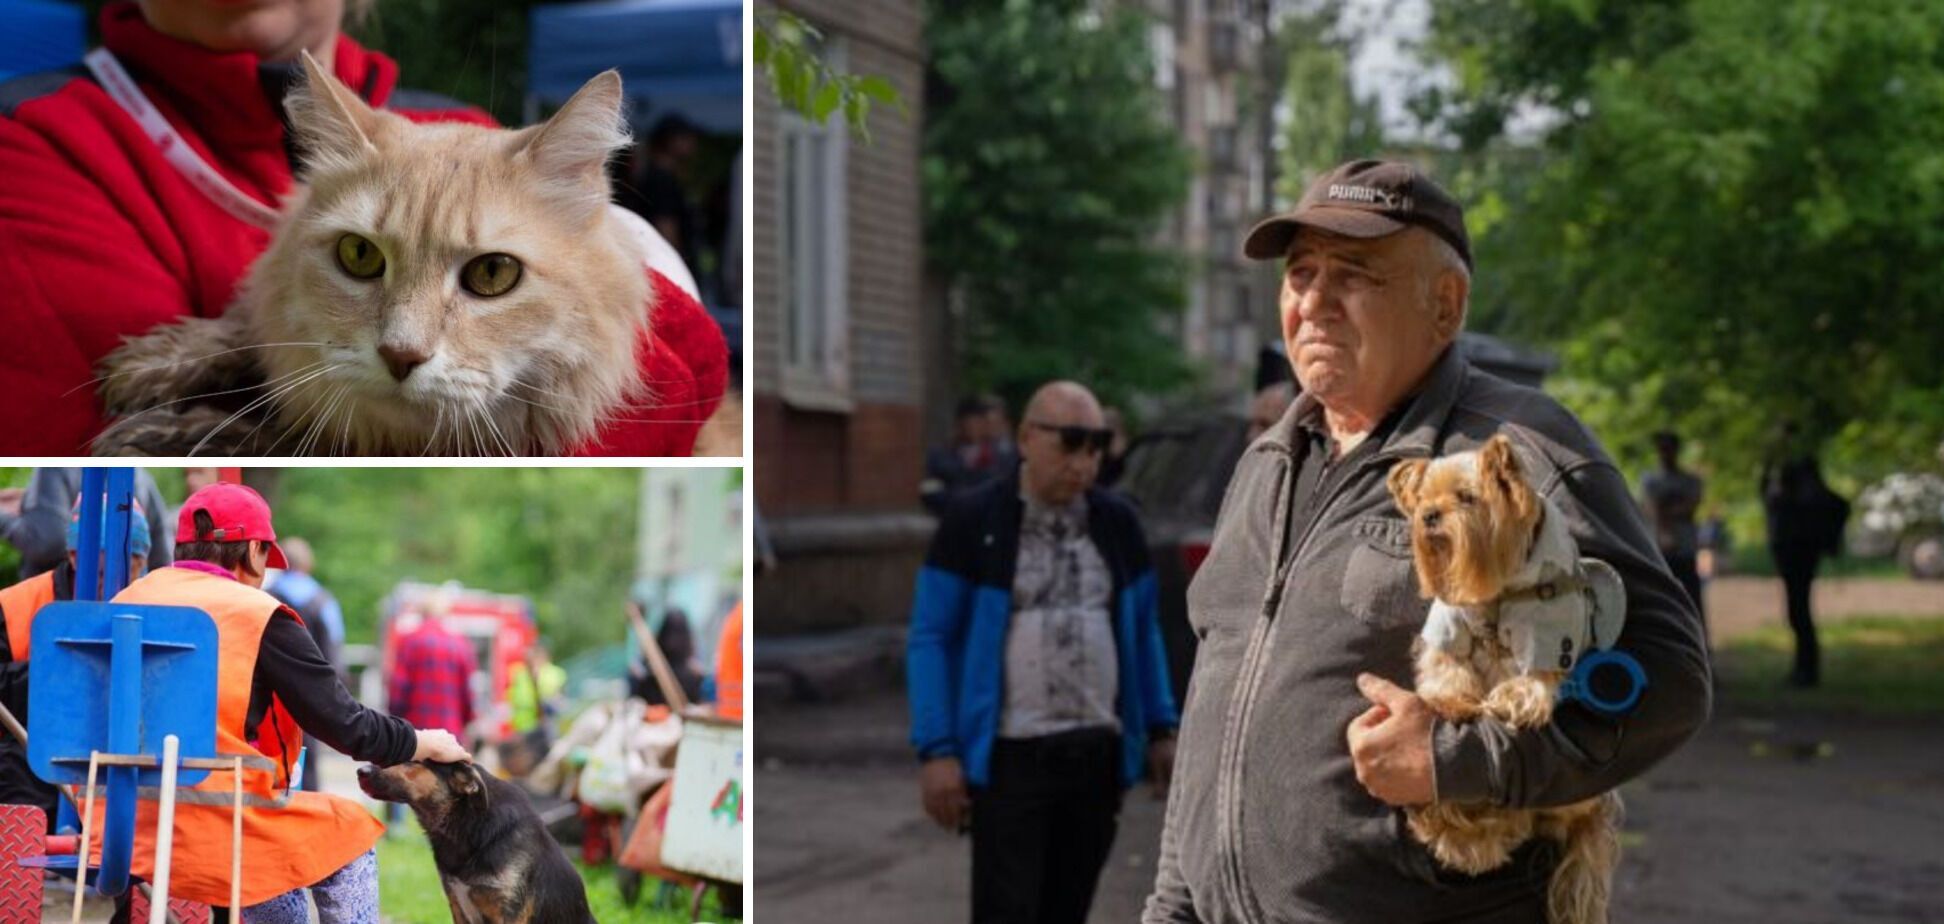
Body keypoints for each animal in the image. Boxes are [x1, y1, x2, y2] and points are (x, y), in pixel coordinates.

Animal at [92, 52, 660, 457]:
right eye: (359, 255)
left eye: (494, 273)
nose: (400, 356)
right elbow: (242, 329)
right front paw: (156, 364)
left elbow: (284, 438)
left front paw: (168, 432)